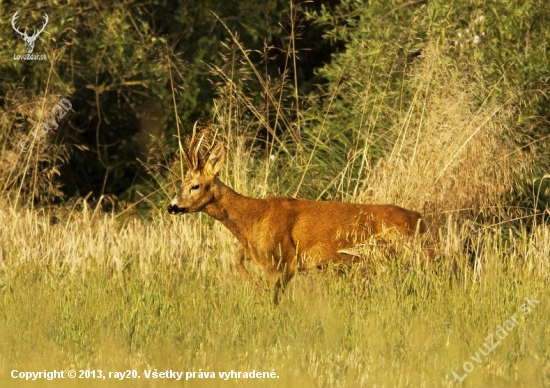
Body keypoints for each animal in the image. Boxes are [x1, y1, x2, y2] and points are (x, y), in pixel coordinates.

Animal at [170, 129, 430, 304]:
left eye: (195, 185)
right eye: (181, 183)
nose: (171, 206)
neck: (252, 218)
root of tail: (420, 219)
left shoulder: (285, 260)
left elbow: (274, 299)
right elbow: (237, 260)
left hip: (401, 249)